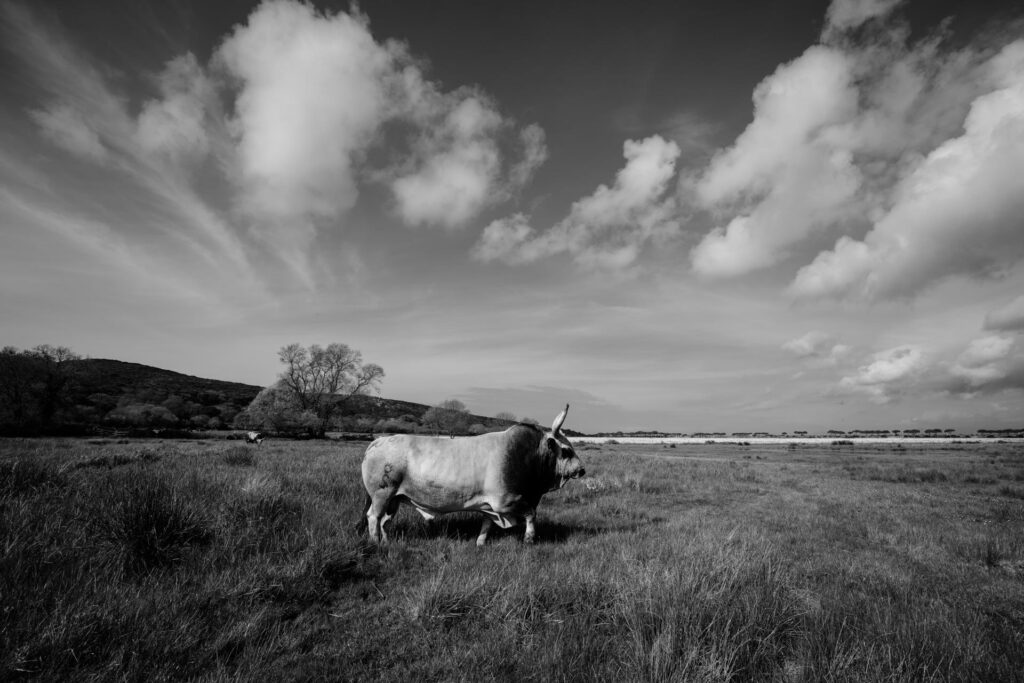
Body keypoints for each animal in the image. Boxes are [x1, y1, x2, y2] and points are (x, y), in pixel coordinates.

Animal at [360, 405, 585, 544]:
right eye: (566, 450)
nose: (581, 470)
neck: (525, 455)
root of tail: (378, 441)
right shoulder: (506, 502)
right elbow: (531, 514)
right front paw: (529, 538)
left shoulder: (490, 506)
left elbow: (486, 524)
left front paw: (480, 542)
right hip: (382, 495)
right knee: (373, 517)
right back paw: (375, 542)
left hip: (394, 499)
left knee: (384, 521)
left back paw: (386, 541)